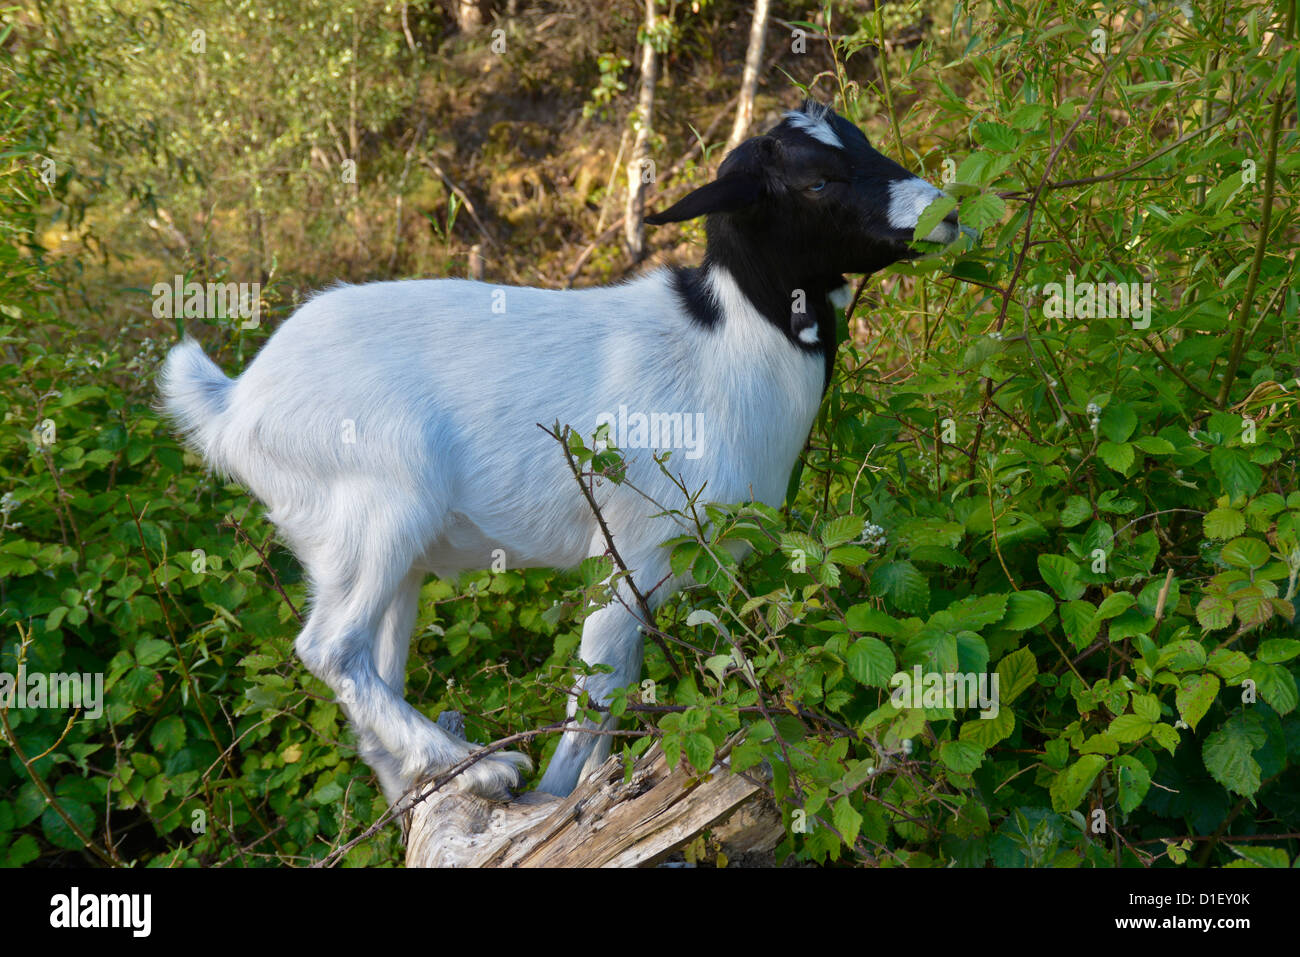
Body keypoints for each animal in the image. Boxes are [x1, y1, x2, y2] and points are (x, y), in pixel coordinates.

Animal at [159, 100, 967, 806]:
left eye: (865, 145)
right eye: (816, 180)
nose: (950, 214)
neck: (723, 342)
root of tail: (237, 404)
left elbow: (620, 697)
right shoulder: (632, 552)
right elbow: (597, 697)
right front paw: (558, 801)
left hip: (387, 553)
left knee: (374, 669)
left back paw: (436, 783)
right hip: (378, 503)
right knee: (330, 648)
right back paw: (486, 770)